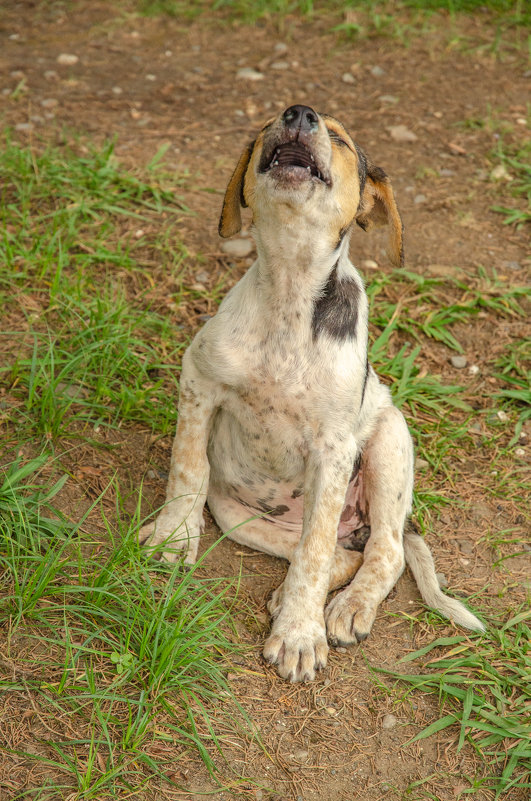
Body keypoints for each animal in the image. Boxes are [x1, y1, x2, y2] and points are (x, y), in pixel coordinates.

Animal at [140, 106, 486, 680]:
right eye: (266, 125)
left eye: (340, 138)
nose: (298, 114)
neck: (290, 286)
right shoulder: (199, 380)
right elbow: (187, 469)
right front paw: (174, 537)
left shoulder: (334, 449)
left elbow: (315, 550)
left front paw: (300, 635)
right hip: (236, 516)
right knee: (341, 553)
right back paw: (292, 595)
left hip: (390, 442)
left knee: (381, 551)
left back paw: (344, 607)